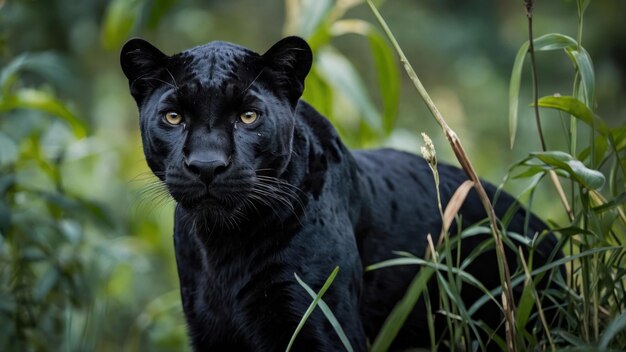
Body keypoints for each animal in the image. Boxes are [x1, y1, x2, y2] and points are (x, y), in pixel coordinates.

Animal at [119, 35, 564, 350]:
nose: (208, 165)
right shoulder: (208, 328)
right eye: (173, 117)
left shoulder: (315, 318)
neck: (224, 244)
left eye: (248, 116)